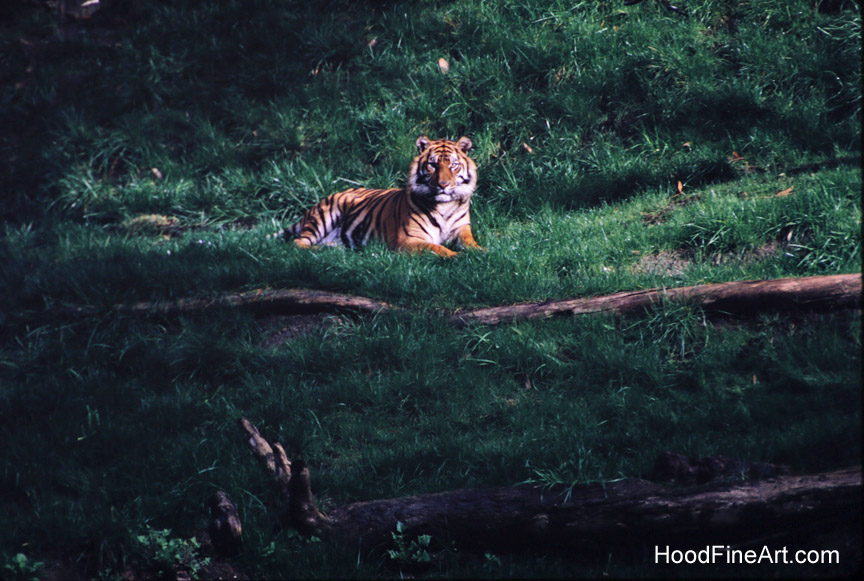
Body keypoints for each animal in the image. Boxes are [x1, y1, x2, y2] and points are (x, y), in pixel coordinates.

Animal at [287, 135, 482, 258]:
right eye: (432, 165)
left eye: (453, 165)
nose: (443, 185)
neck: (444, 205)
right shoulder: (409, 240)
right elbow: (436, 247)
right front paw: (456, 256)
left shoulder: (461, 230)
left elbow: (471, 244)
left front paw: (483, 252)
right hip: (325, 217)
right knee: (298, 243)